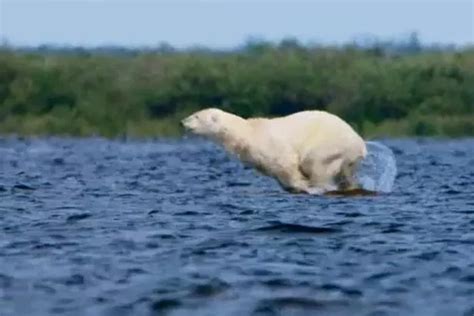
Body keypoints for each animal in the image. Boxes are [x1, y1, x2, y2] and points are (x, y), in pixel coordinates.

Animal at [181, 107, 366, 194]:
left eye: (196, 116)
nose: (182, 122)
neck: (250, 133)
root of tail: (359, 143)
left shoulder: (273, 146)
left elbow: (287, 165)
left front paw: (302, 184)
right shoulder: (257, 158)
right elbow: (274, 171)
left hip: (329, 144)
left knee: (316, 163)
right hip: (348, 156)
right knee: (346, 172)